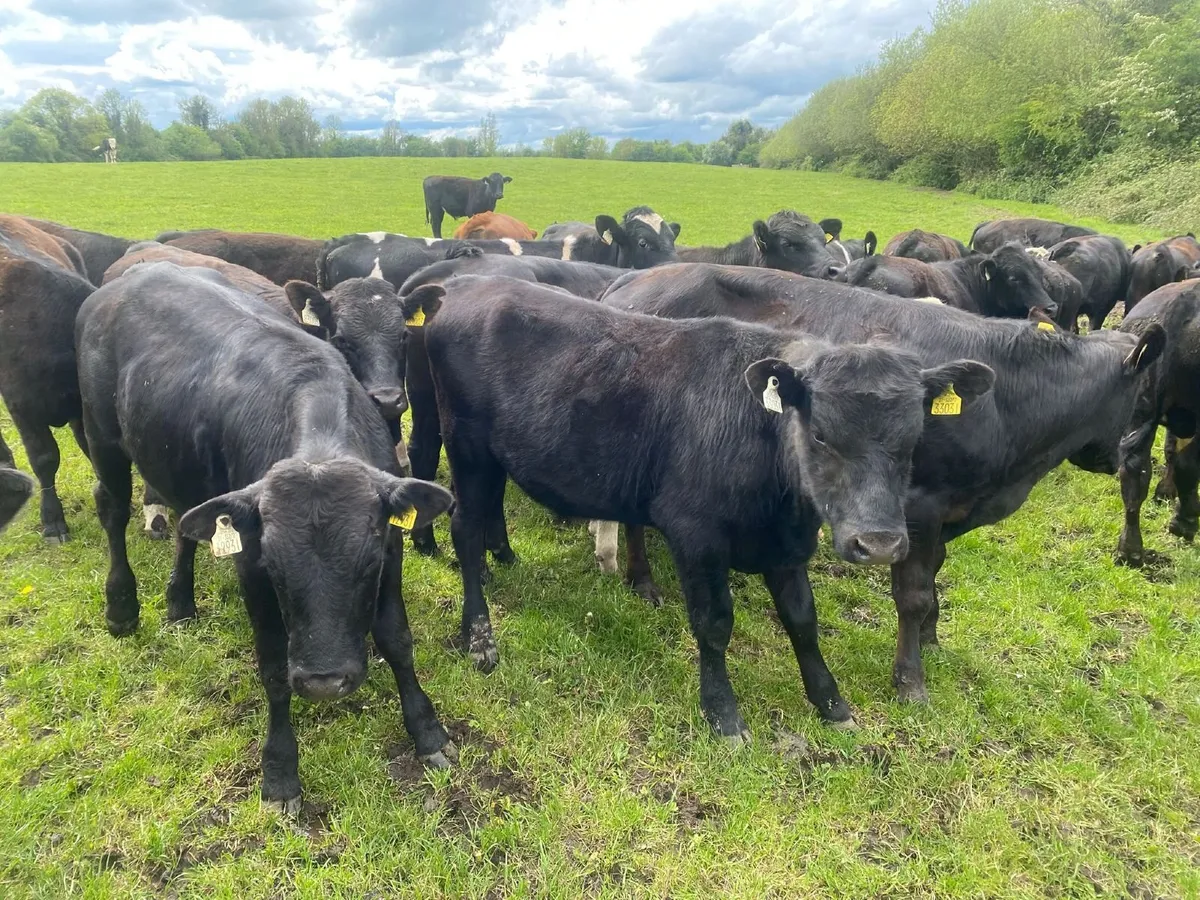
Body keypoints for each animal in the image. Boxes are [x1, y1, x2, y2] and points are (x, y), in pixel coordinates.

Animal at [75, 261, 457, 809]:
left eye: (367, 562)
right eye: (275, 568)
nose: (324, 681)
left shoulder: (393, 547)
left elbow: (397, 639)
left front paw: (427, 731)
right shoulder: (249, 565)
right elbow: (274, 666)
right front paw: (279, 771)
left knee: (186, 526)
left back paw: (180, 601)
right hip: (103, 437)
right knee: (111, 511)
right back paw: (122, 607)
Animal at [424, 274, 994, 740]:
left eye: (913, 440)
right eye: (821, 434)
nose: (878, 544)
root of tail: (466, 287)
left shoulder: (786, 546)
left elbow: (802, 620)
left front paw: (830, 703)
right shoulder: (695, 536)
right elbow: (715, 623)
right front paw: (723, 713)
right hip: (467, 449)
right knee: (465, 530)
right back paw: (480, 637)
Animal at [599, 263, 1165, 701]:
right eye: (1143, 395)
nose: (1131, 459)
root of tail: (636, 278)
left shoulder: (947, 510)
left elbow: (935, 576)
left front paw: (932, 638)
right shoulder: (918, 507)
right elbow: (912, 593)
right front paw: (910, 678)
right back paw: (642, 579)